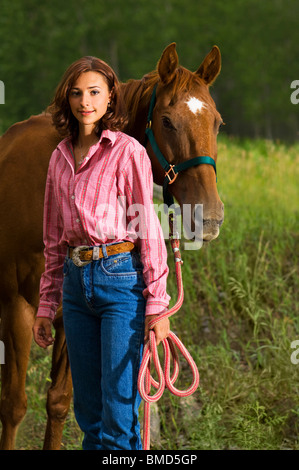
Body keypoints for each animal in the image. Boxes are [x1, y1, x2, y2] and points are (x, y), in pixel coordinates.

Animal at [0, 43, 224, 448]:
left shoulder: (68, 320)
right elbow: (13, 405)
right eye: (167, 121)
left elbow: (59, 403)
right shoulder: (17, 310)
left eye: (216, 122)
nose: (210, 217)